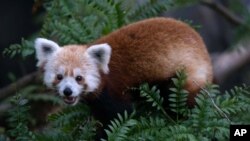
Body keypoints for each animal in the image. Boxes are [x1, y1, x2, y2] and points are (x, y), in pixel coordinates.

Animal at [34, 17, 212, 123]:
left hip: (185, 74)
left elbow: (120, 114)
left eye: (79, 78)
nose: (67, 91)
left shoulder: (113, 88)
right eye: (59, 76)